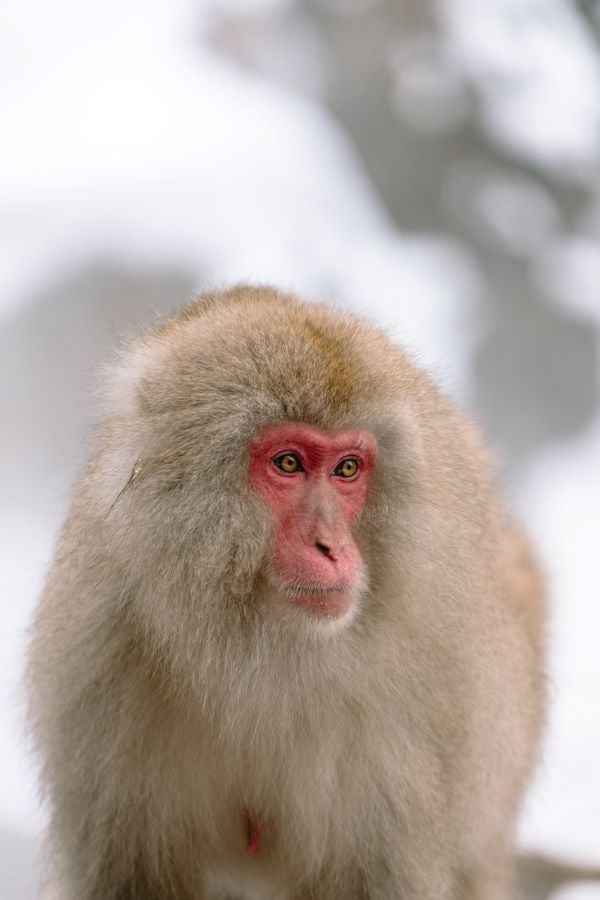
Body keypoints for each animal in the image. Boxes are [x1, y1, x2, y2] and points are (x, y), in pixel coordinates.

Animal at [27, 284, 580, 896]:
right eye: (288, 463)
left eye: (347, 469)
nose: (330, 547)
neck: (258, 652)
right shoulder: (99, 662)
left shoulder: (417, 709)